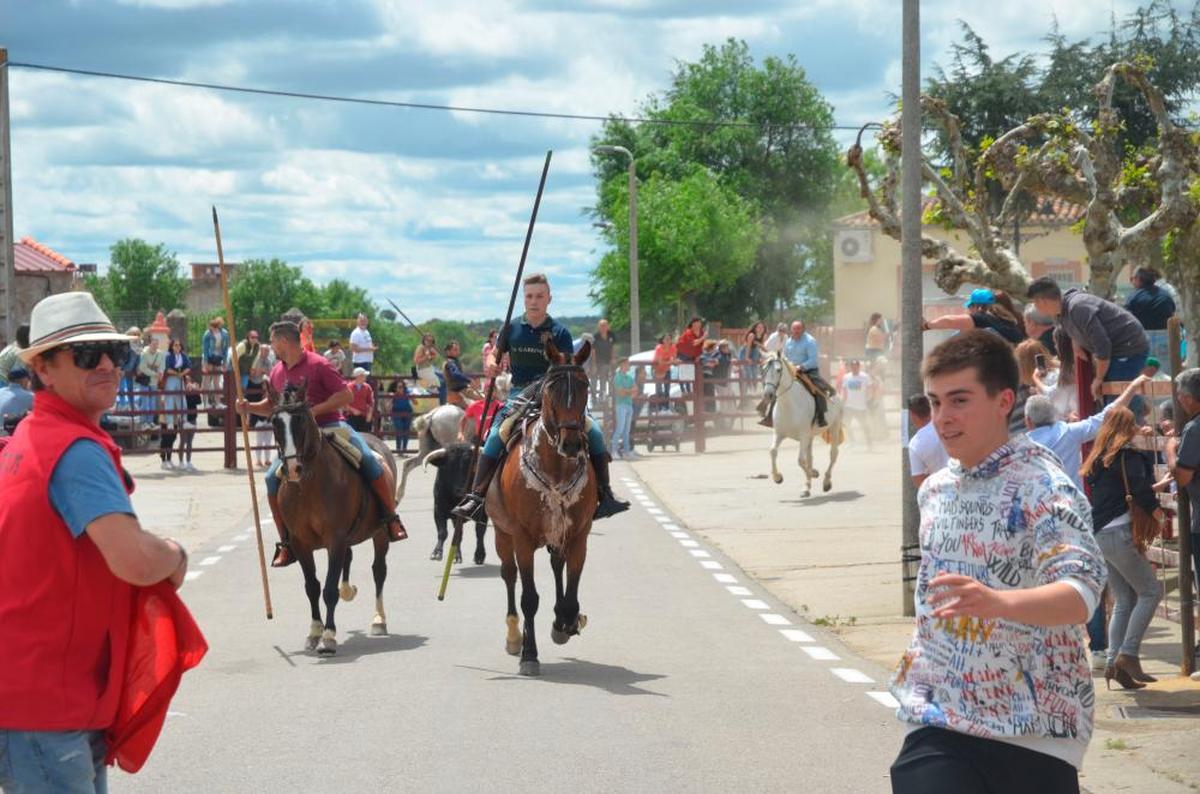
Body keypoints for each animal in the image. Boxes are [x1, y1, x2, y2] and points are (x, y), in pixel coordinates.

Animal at [271, 383, 398, 657]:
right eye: (275, 422)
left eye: (301, 419)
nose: (292, 469)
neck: (308, 485)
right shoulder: (301, 543)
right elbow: (312, 587)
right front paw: (314, 632)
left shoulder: (335, 539)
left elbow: (329, 589)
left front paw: (328, 636)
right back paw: (349, 590)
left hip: (380, 533)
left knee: (379, 571)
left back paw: (379, 620)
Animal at [484, 335, 597, 676]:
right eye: (550, 389)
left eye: (585, 386)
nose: (571, 443)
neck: (555, 467)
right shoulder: (521, 538)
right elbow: (529, 598)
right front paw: (529, 655)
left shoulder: (579, 535)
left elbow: (571, 594)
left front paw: (566, 623)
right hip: (502, 534)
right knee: (509, 576)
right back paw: (513, 636)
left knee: (557, 566)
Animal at [758, 355, 844, 498]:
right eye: (763, 369)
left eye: (778, 370)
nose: (768, 394)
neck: (789, 405)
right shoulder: (779, 433)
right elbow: (773, 451)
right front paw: (777, 477)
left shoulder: (803, 436)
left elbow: (800, 460)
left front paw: (813, 474)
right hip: (810, 436)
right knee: (810, 457)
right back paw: (807, 486)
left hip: (834, 427)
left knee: (833, 454)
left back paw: (826, 482)